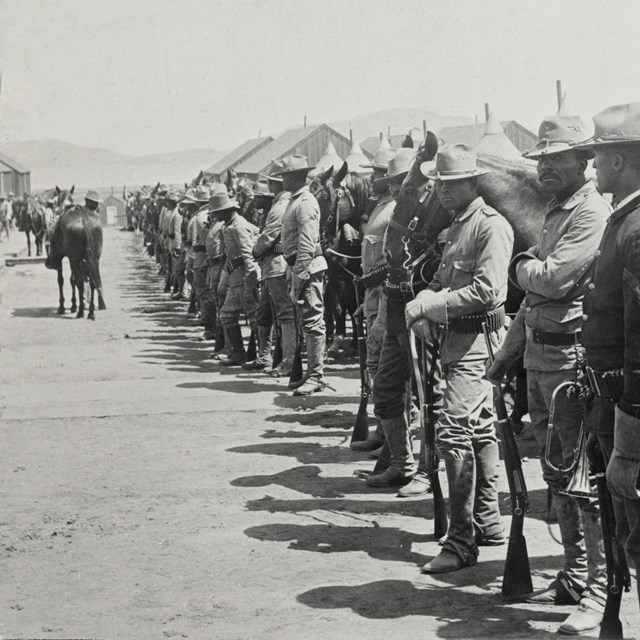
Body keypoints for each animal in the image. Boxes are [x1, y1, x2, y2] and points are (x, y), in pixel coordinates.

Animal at [47, 185, 106, 320]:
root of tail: (84, 220)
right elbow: (73, 279)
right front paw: (74, 305)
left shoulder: (62, 258)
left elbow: (62, 280)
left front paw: (62, 307)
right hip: (94, 258)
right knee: (92, 281)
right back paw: (90, 312)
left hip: (74, 259)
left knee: (80, 281)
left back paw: (81, 311)